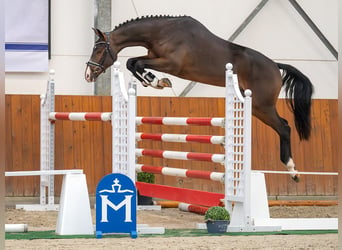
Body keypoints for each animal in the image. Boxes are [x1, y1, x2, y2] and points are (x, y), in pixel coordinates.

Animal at [85, 15, 312, 182]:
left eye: (98, 49)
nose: (88, 75)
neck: (160, 32)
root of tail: (275, 65)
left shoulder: (171, 63)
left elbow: (136, 63)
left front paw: (156, 81)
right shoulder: (154, 57)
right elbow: (133, 62)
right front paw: (154, 81)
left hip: (261, 105)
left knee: (284, 127)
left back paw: (293, 170)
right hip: (257, 108)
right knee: (283, 126)